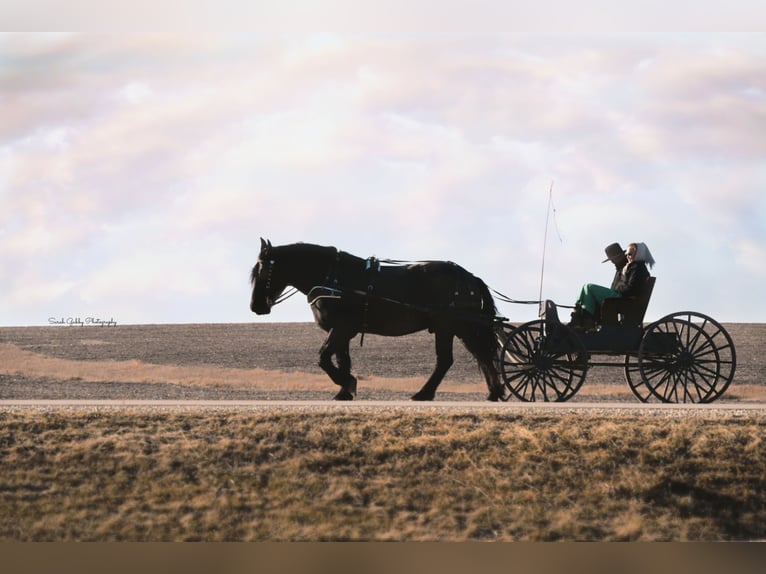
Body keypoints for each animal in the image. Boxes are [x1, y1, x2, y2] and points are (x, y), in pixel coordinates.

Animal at [249, 241, 508, 402]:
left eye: (263, 271)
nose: (256, 307)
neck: (333, 278)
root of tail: (469, 277)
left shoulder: (342, 328)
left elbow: (323, 358)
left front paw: (348, 383)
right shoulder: (342, 331)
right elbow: (342, 360)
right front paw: (344, 391)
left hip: (448, 326)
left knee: (447, 360)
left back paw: (424, 393)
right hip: (463, 328)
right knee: (482, 356)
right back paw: (494, 392)